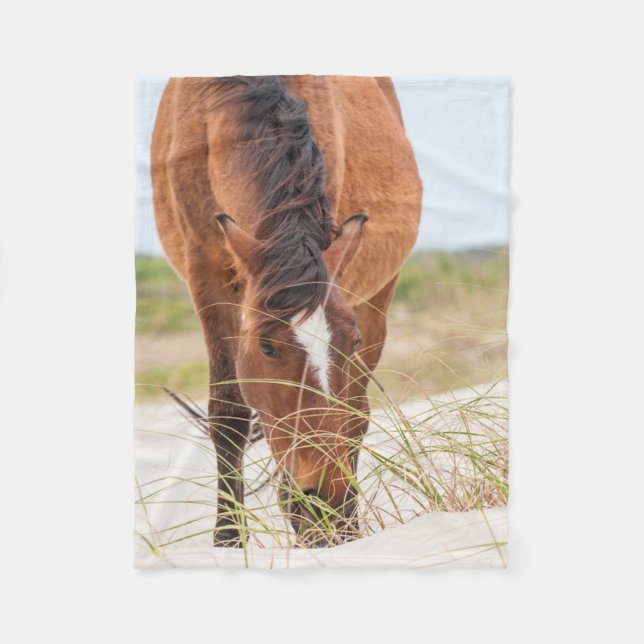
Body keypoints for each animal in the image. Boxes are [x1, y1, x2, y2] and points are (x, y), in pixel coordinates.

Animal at [151, 75, 422, 547]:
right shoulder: (207, 276)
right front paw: (228, 538)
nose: (328, 499)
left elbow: (347, 414)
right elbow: (229, 414)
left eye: (352, 340)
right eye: (267, 348)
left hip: (378, 296)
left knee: (358, 411)